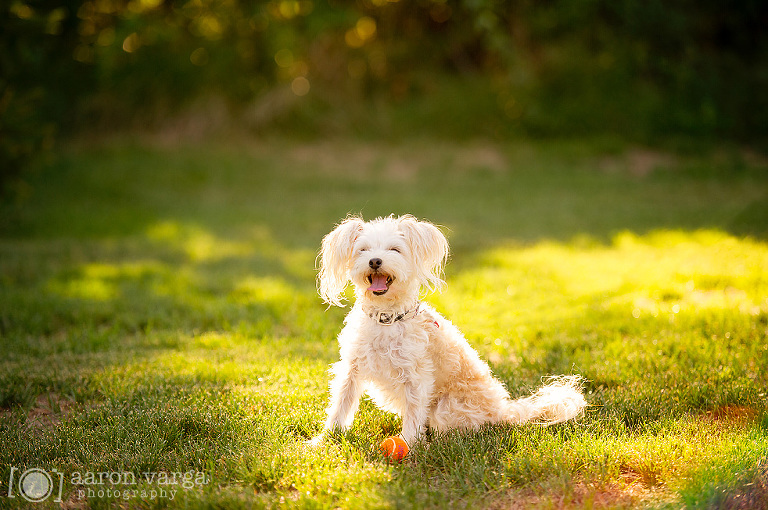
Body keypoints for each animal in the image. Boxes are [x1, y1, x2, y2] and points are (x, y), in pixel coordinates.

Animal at [312, 213, 588, 444]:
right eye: (363, 250)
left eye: (394, 250)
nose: (375, 261)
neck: (386, 319)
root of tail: (504, 410)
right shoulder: (351, 368)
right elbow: (340, 404)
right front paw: (324, 440)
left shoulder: (416, 377)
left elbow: (413, 415)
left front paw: (409, 445)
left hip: (446, 407)